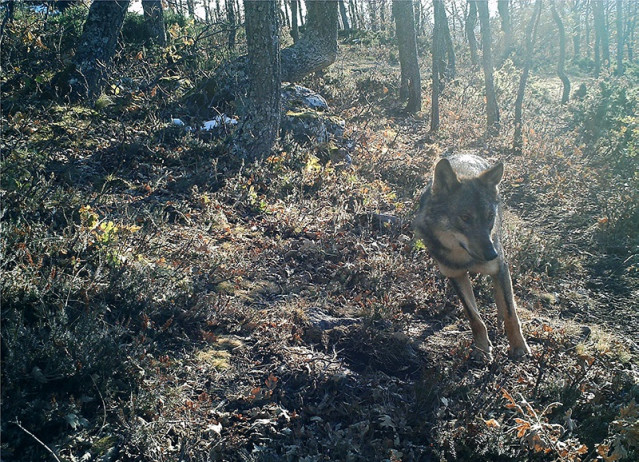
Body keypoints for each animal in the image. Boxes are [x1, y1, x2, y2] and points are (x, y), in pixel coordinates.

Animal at [416, 153, 528, 360]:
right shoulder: (455, 275)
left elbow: (511, 313)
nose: (492, 254)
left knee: (503, 299)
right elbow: (474, 317)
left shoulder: (500, 267)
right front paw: (482, 349)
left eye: (490, 216)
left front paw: (518, 347)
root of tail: (468, 153)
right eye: (465, 217)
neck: (464, 257)